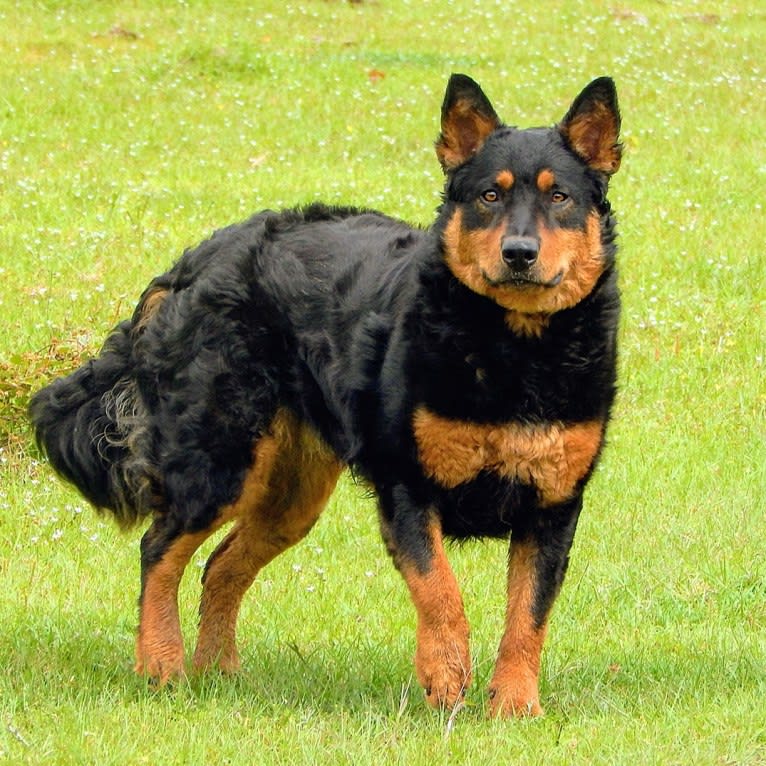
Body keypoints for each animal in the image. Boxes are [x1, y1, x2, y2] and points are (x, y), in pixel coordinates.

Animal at [30, 75, 624, 716]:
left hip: (292, 491)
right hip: (219, 460)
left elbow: (527, 617)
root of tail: (191, 263)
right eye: (490, 195)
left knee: (220, 566)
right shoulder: (407, 488)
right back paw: (162, 666)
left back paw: (219, 672)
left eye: (559, 197)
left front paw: (514, 706)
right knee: (159, 550)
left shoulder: (554, 505)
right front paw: (445, 681)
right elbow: (441, 593)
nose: (519, 252)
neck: (513, 351)